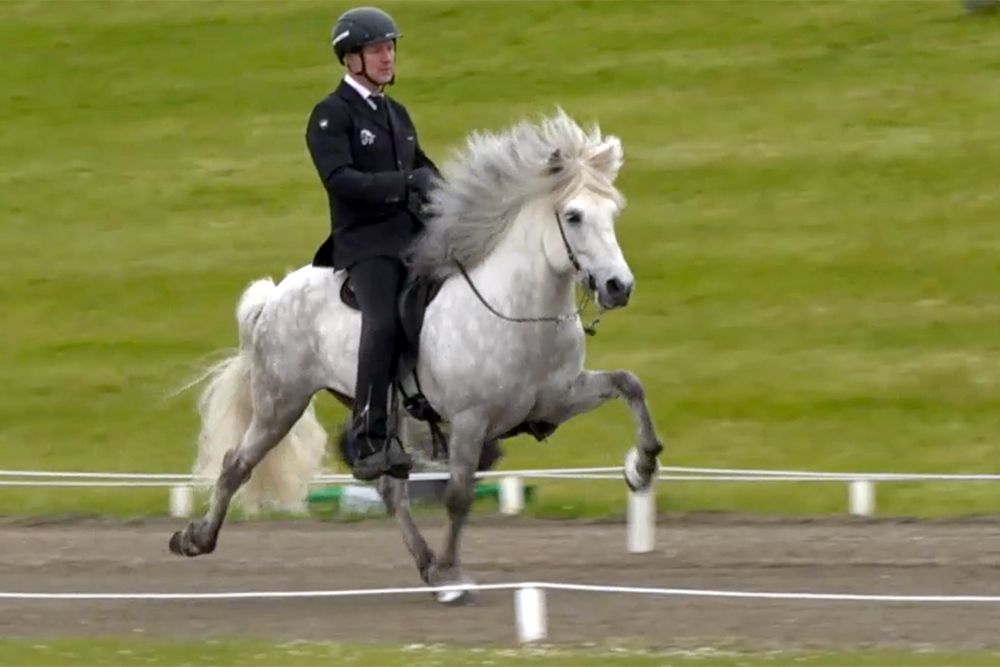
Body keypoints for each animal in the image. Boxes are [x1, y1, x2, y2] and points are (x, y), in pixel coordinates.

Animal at [170, 109, 664, 604]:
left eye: (612, 212)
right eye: (573, 216)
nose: (619, 286)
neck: (519, 310)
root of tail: (274, 296)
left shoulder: (556, 400)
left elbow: (630, 383)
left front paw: (641, 468)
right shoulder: (470, 419)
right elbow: (459, 495)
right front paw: (452, 574)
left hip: (380, 411)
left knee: (391, 489)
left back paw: (424, 562)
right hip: (281, 402)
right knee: (236, 465)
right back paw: (195, 538)